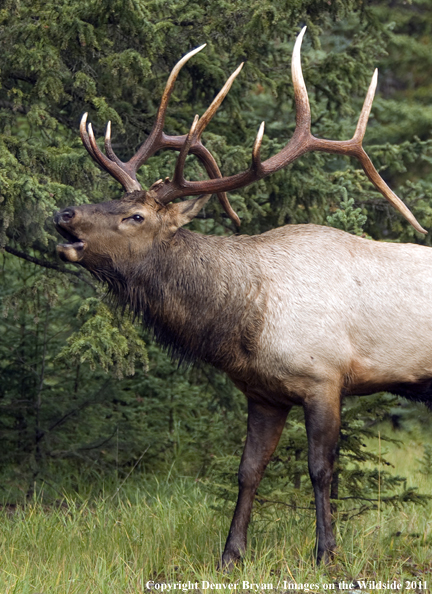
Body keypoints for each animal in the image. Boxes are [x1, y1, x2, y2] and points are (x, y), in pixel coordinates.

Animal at [55, 28, 430, 564]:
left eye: (136, 216)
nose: (63, 214)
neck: (242, 323)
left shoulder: (325, 378)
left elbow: (322, 471)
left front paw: (326, 554)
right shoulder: (263, 393)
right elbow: (248, 471)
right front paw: (231, 555)